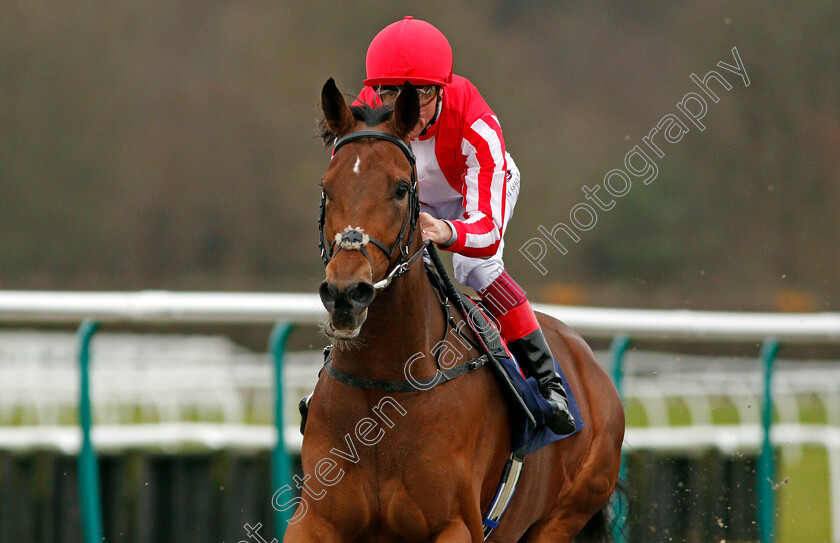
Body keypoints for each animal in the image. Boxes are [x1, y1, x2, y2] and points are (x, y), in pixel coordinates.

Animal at [280, 77, 624, 543]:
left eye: (400, 188)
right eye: (326, 187)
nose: (345, 294)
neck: (384, 389)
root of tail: (590, 363)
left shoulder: (455, 524)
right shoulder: (314, 519)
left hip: (564, 514)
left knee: (483, 264)